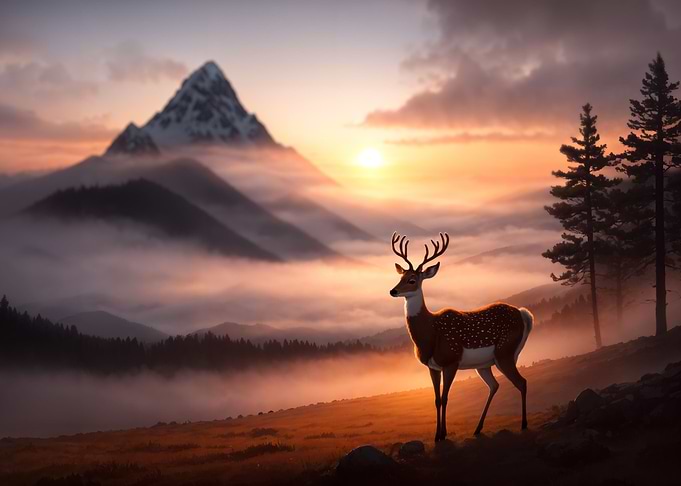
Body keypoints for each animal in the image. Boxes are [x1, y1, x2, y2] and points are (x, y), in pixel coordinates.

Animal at [389, 232, 534, 441]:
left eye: (413, 280)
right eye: (401, 276)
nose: (393, 291)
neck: (430, 334)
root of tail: (524, 314)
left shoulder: (452, 360)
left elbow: (445, 397)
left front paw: (443, 434)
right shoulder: (432, 366)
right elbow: (436, 399)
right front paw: (437, 435)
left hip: (505, 352)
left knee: (521, 382)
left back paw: (523, 424)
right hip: (485, 364)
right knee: (494, 385)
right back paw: (478, 428)